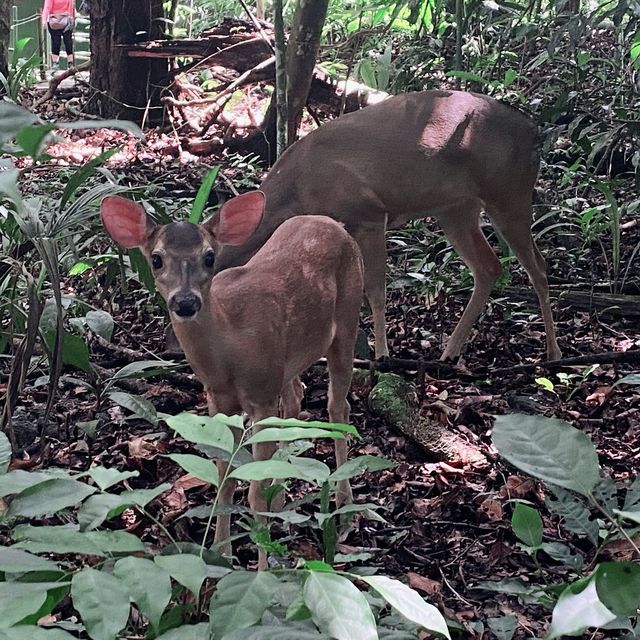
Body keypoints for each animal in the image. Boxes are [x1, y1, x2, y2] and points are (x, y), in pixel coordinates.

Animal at [98, 191, 362, 564]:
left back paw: (344, 506)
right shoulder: (218, 398)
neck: (230, 350)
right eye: (156, 259)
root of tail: (332, 223)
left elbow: (255, 491)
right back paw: (286, 496)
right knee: (295, 396)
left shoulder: (261, 395)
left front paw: (264, 567)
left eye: (210, 257)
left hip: (349, 316)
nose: (185, 302)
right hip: (287, 358)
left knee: (338, 406)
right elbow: (225, 476)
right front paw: (219, 553)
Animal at [214, 89, 560, 360]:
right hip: (456, 208)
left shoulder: (369, 213)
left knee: (538, 266)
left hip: (509, 192)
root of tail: (534, 132)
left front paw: (382, 355)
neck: (298, 188)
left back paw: (553, 353)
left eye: (208, 260)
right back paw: (450, 352)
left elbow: (376, 290)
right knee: (488, 266)